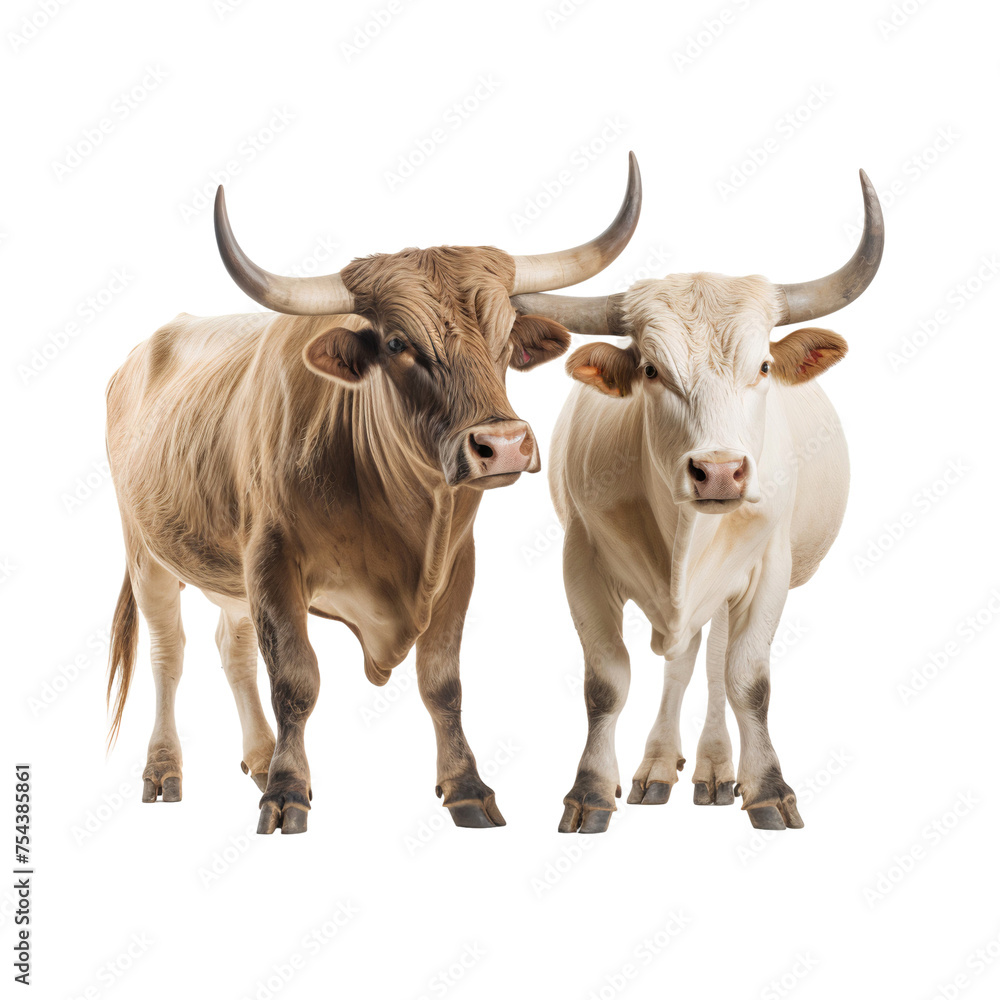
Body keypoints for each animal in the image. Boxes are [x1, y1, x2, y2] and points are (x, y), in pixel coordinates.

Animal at [104, 154, 641, 834]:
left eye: (503, 336)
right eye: (396, 344)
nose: (503, 445)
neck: (402, 518)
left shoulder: (457, 564)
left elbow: (442, 680)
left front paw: (466, 787)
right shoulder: (271, 560)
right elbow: (296, 680)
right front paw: (287, 792)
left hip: (226, 574)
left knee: (234, 649)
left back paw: (258, 757)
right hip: (144, 551)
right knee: (168, 653)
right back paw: (165, 770)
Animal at [512, 170, 883, 833]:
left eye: (763, 366)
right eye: (652, 371)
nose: (719, 472)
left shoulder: (769, 570)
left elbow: (746, 680)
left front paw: (768, 788)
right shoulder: (581, 563)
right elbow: (606, 683)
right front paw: (591, 789)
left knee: (713, 665)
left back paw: (714, 767)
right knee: (684, 661)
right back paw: (659, 767)